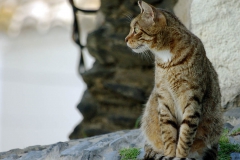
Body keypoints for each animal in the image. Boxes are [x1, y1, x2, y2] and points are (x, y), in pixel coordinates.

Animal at [125, 1, 223, 160]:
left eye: (135, 29)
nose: (125, 39)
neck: (166, 59)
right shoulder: (164, 99)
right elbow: (168, 134)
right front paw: (170, 155)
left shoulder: (191, 100)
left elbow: (185, 136)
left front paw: (180, 156)